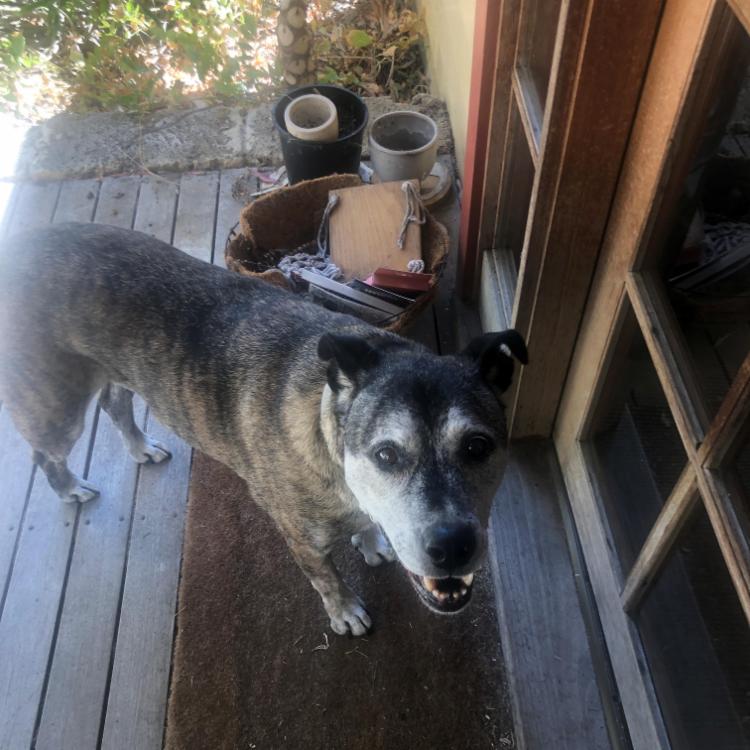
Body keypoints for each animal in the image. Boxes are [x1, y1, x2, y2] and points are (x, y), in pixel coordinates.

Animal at [0, 222, 527, 636]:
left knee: (115, 400)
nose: (453, 545)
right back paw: (70, 488)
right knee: (45, 452)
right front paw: (345, 612)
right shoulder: (303, 538)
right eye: (386, 455)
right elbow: (327, 579)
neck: (328, 427)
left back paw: (139, 446)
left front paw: (371, 542)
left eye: (478, 447)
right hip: (56, 406)